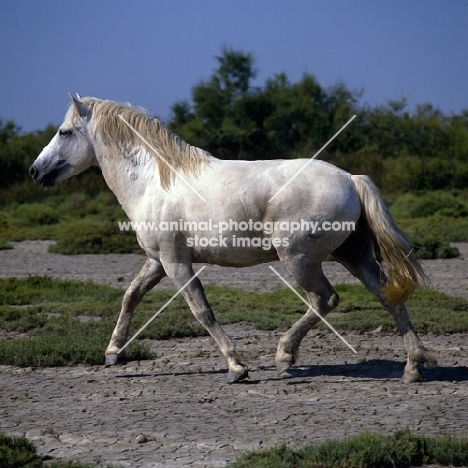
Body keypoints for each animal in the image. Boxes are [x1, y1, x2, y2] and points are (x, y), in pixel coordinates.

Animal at [31, 96, 436, 384]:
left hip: (299, 258)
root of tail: (351, 179)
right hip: (353, 255)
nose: (35, 172)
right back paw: (413, 368)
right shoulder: (158, 261)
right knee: (387, 296)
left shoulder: (177, 263)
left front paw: (237, 367)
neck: (154, 181)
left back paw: (284, 356)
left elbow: (202, 310)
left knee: (325, 299)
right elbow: (131, 296)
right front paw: (113, 352)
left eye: (64, 132)